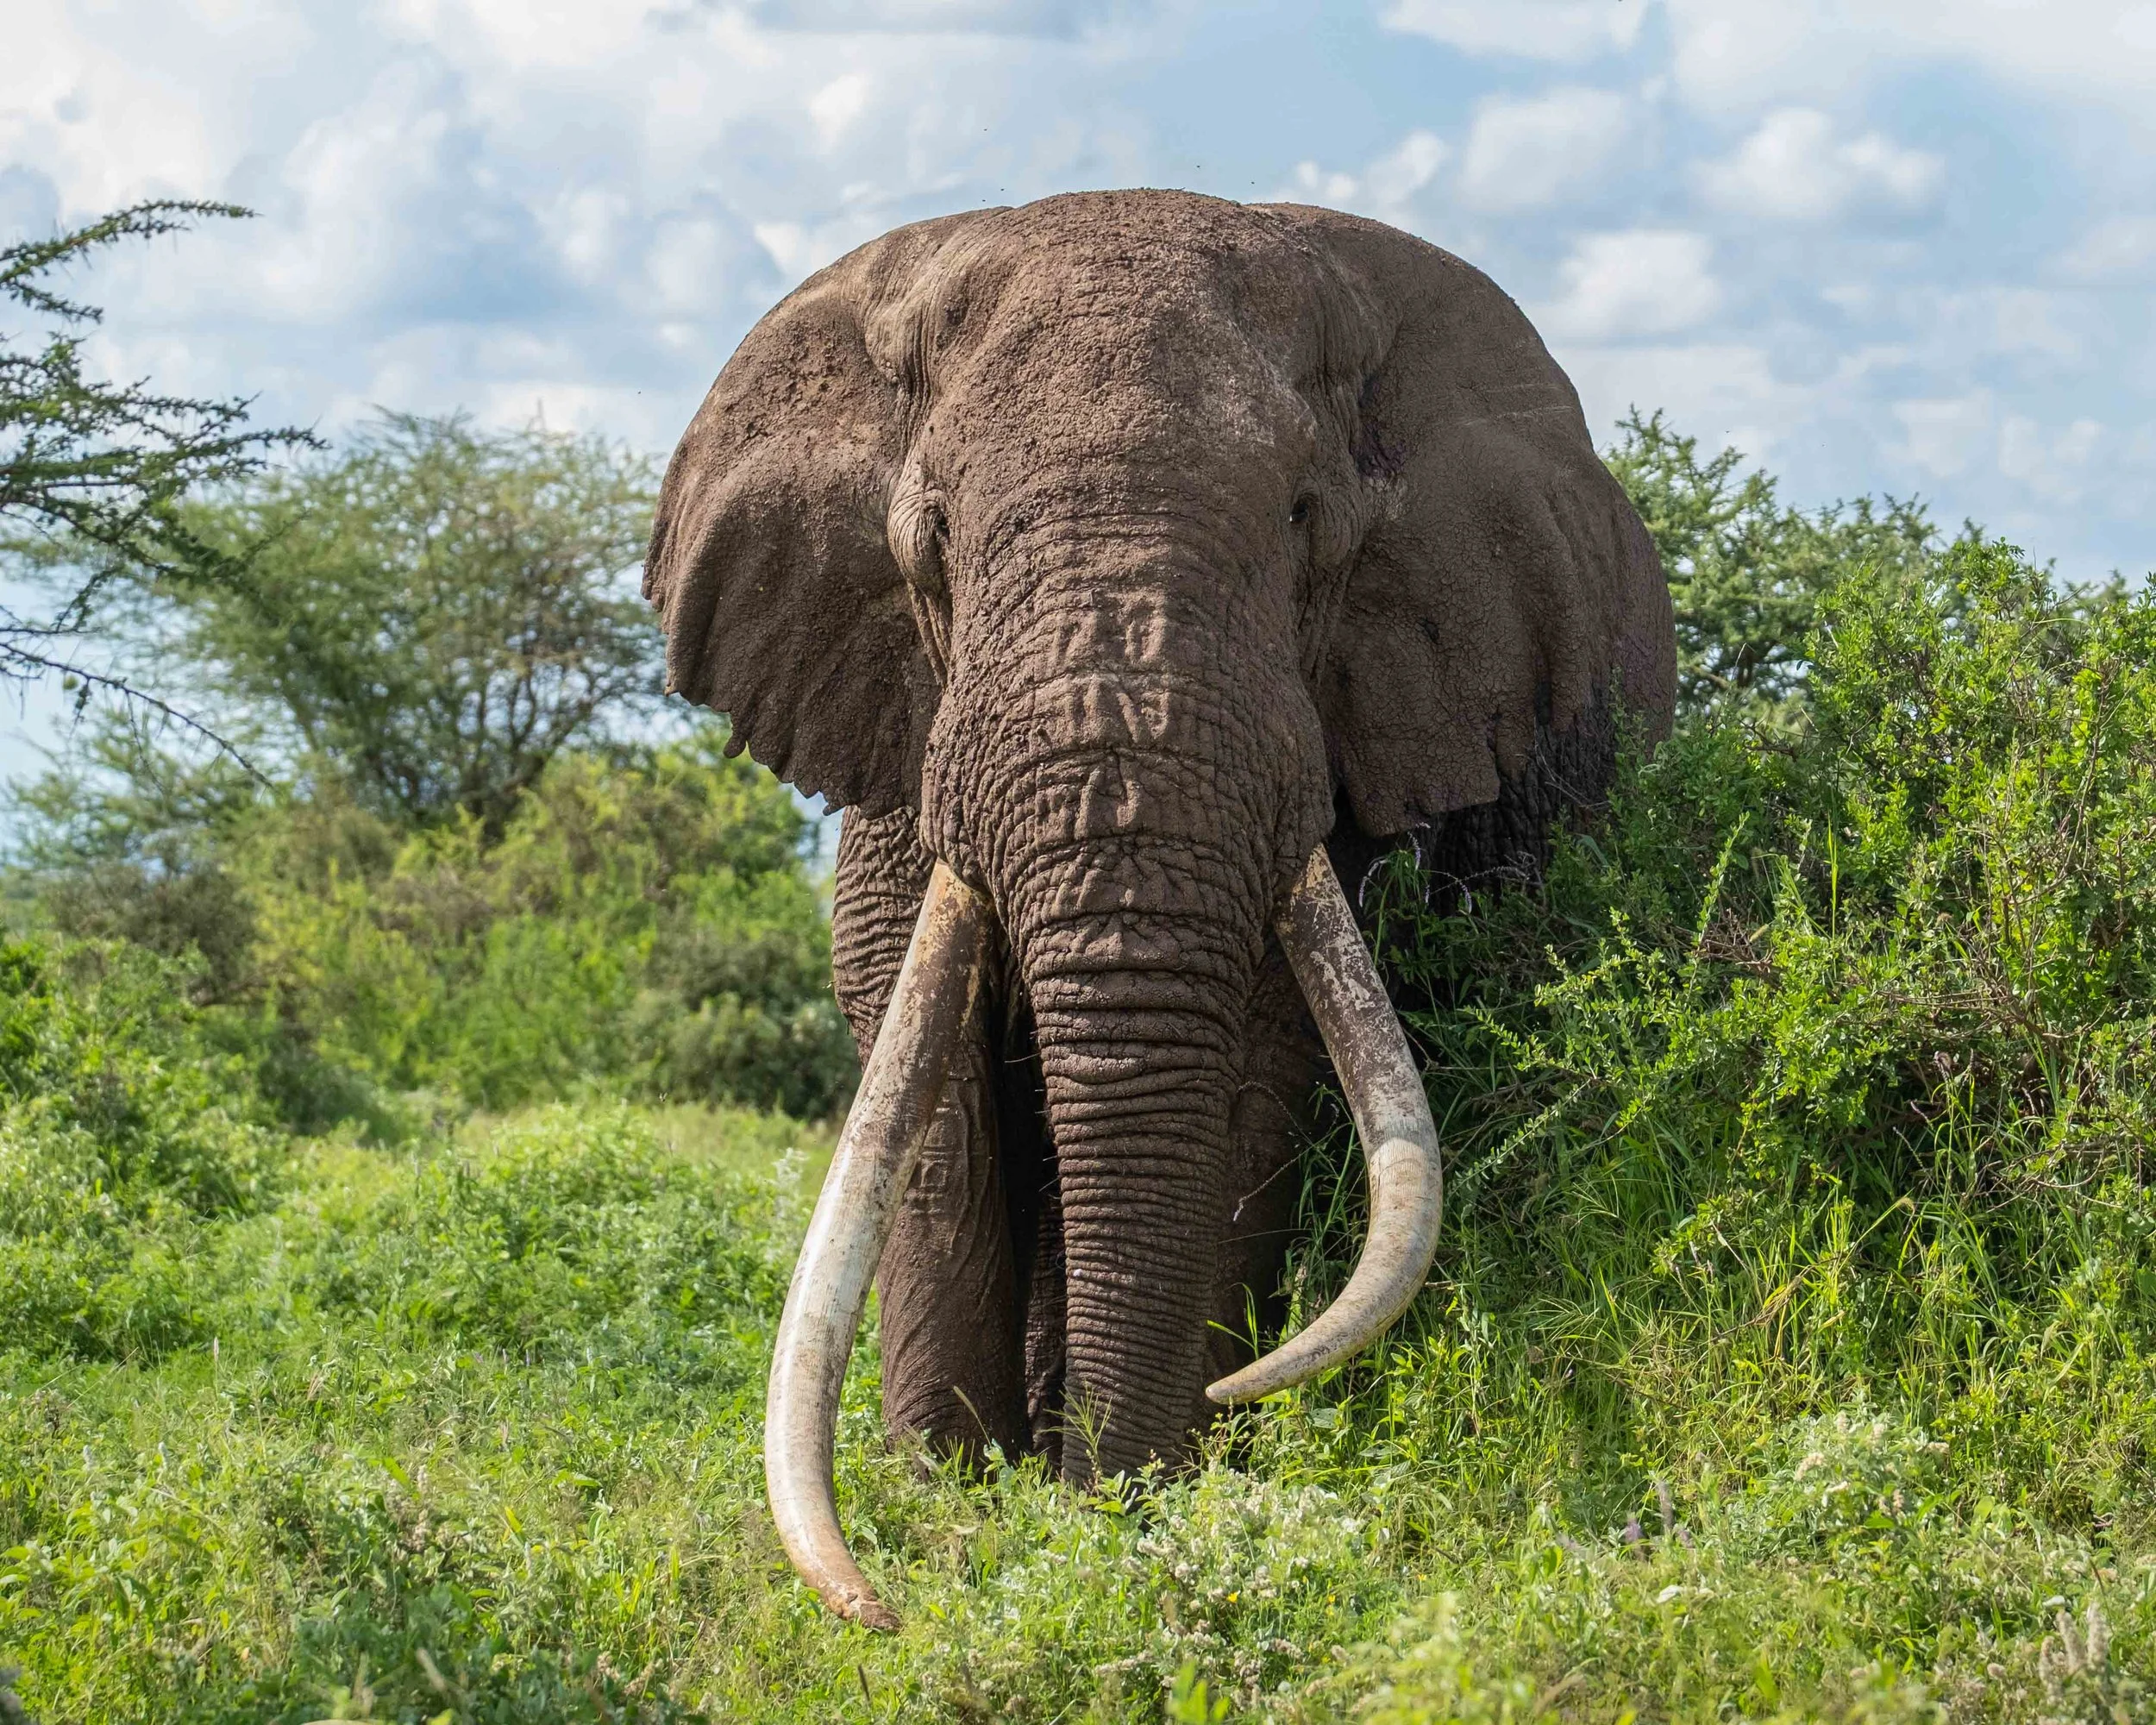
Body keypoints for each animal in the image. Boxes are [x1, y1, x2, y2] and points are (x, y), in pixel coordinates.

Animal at [643, 189, 1675, 1626]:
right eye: (934, 542)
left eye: (1306, 523)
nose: (1099, 1507)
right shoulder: (895, 725)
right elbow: (929, 1090)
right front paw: (949, 1503)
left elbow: (1251, 1064)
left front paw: (1140, 1499)